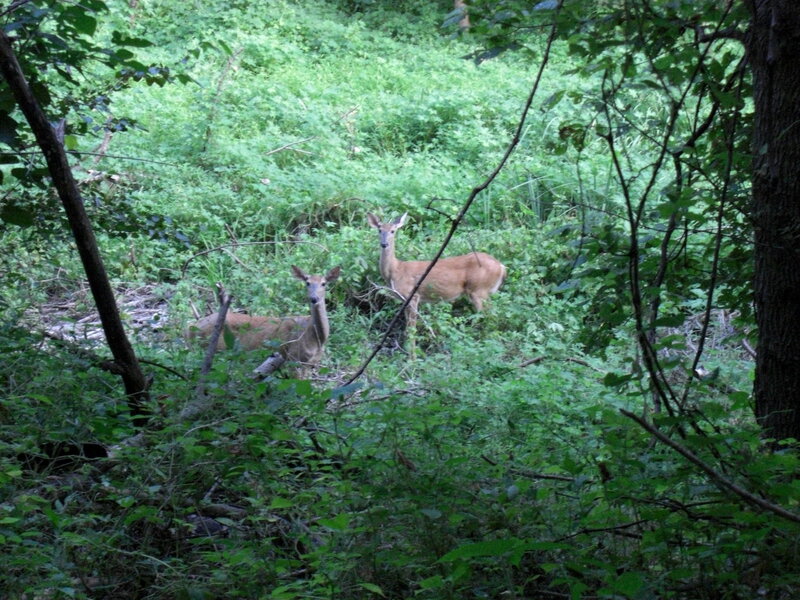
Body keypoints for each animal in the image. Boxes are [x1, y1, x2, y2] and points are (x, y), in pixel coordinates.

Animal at [186, 265, 341, 376]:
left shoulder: (309, 363)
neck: (316, 337)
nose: (314, 298)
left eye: (324, 283)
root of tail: (190, 328)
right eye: (307, 282)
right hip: (214, 349)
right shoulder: (293, 358)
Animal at [367, 212, 506, 337]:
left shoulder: (413, 295)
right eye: (379, 230)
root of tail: (501, 267)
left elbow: (411, 330)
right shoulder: (404, 300)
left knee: (489, 315)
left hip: (478, 289)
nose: (384, 244)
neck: (395, 270)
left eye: (392, 231)